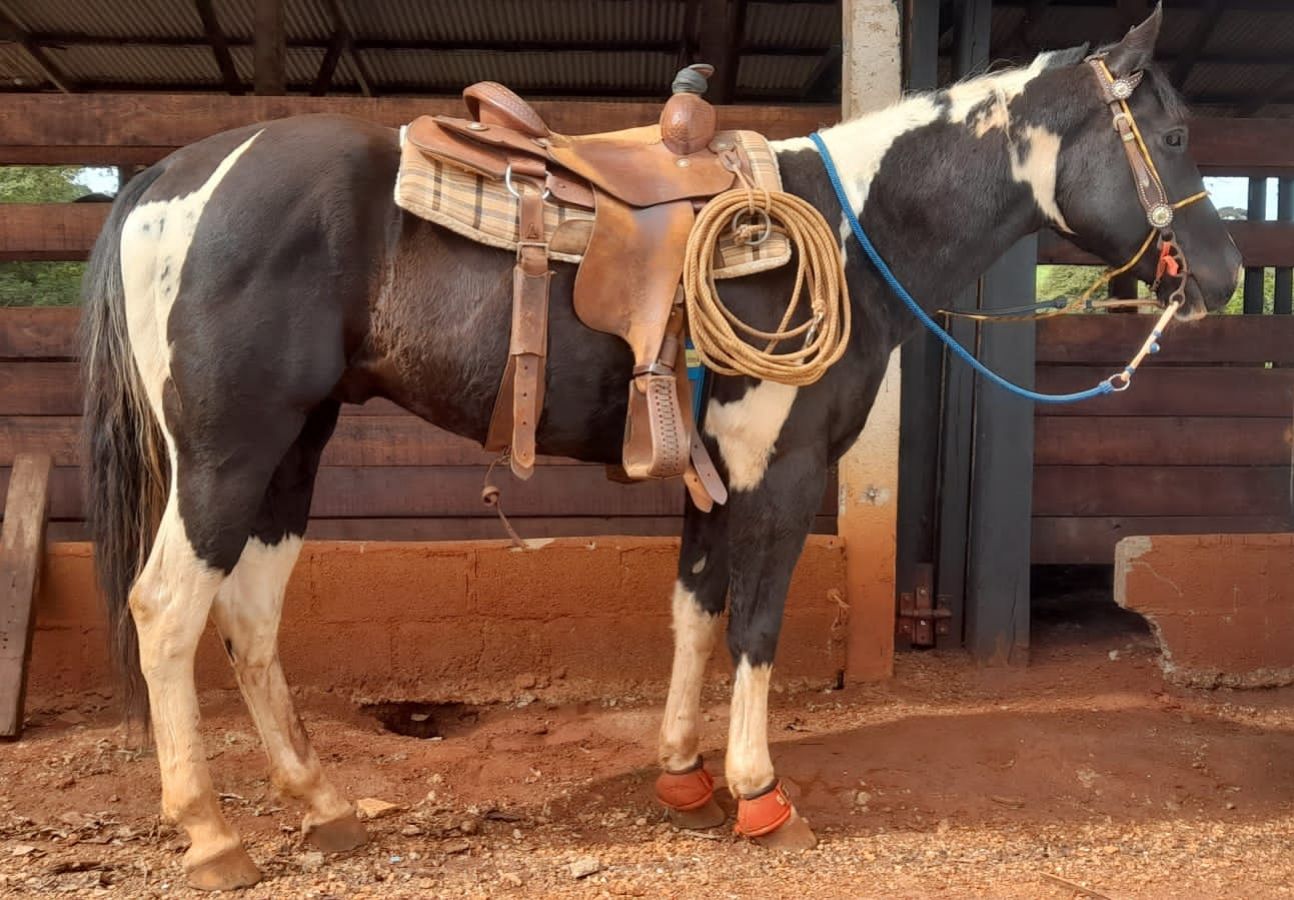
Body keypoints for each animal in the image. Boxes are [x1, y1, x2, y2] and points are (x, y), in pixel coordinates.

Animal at [80, 7, 1238, 890]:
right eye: (1176, 134)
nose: (1222, 278)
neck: (852, 233)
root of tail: (164, 179)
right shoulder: (784, 470)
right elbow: (758, 626)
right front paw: (759, 795)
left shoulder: (710, 472)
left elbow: (694, 610)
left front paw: (683, 775)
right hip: (228, 451)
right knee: (167, 608)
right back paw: (213, 834)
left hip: (293, 447)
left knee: (250, 613)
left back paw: (322, 803)